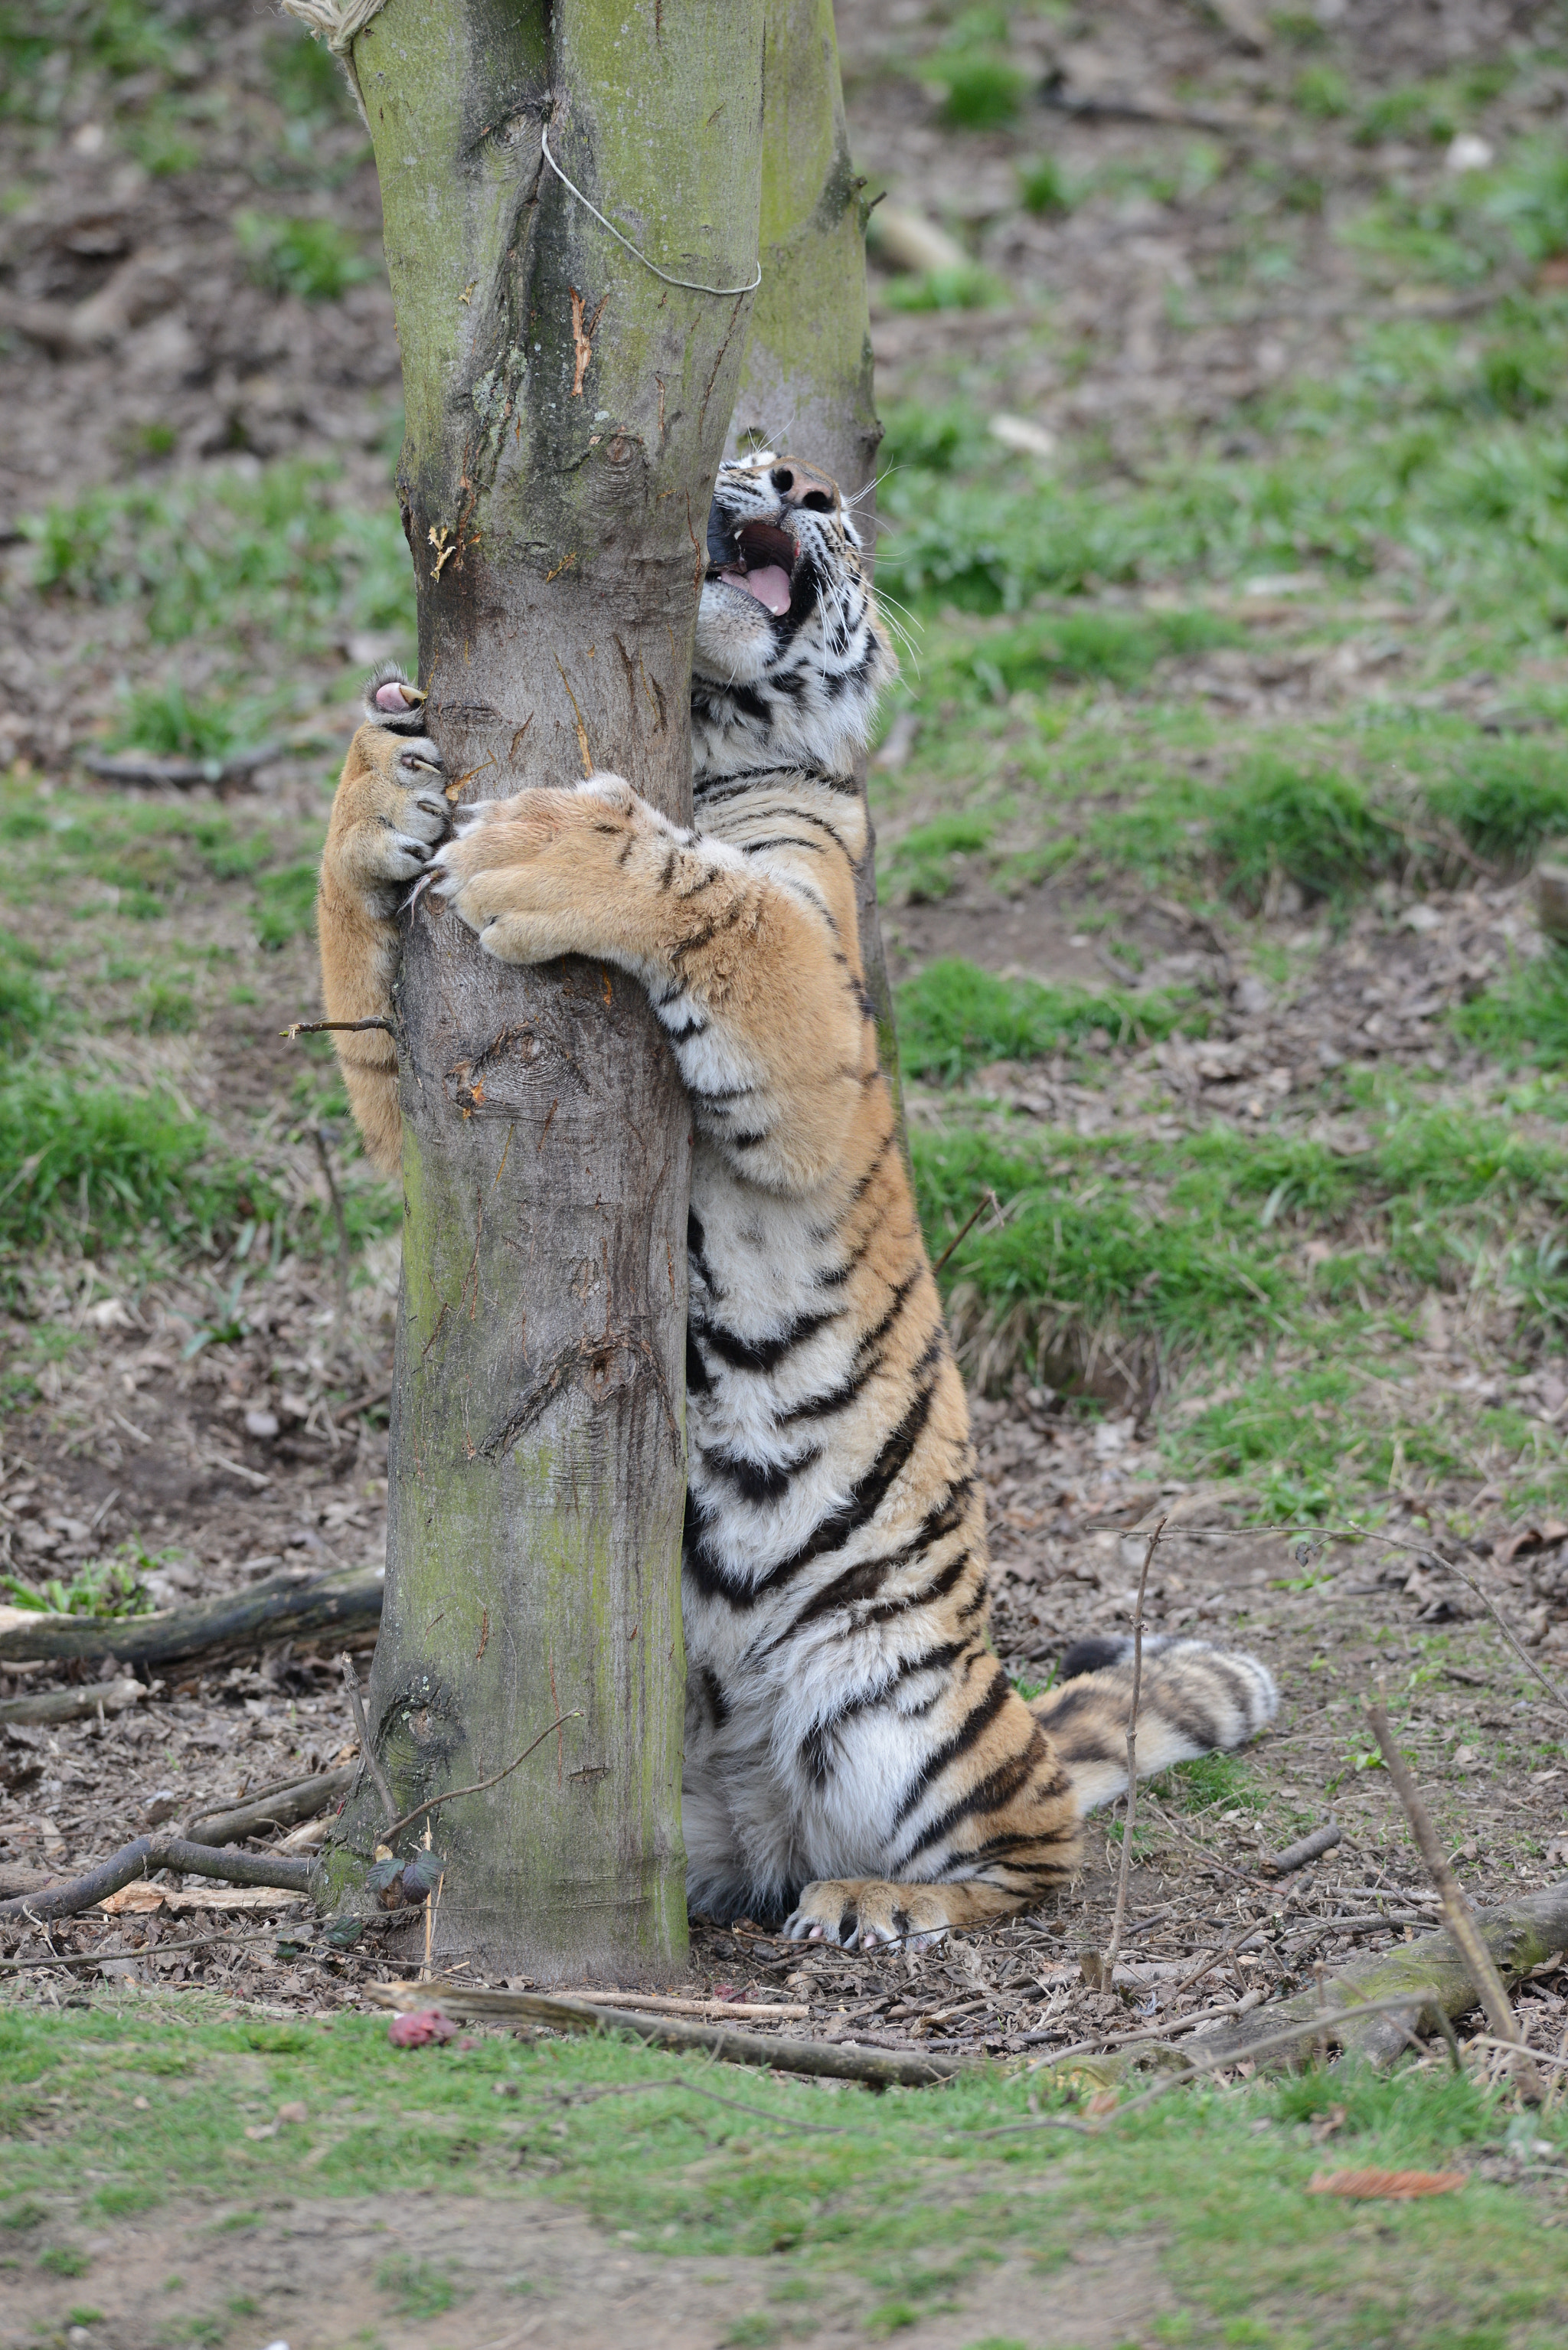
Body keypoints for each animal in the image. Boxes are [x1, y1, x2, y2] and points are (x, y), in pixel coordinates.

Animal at [315, 449, 1279, 1955]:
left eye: (828, 501)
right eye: (760, 451)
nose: (796, 479)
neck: (700, 741)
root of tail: (757, 1812)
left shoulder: (818, 1018)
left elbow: (723, 902)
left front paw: (551, 845)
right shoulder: (420, 1089)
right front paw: (382, 773)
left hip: (903, 1706)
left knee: (1040, 1837)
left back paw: (875, 1899)